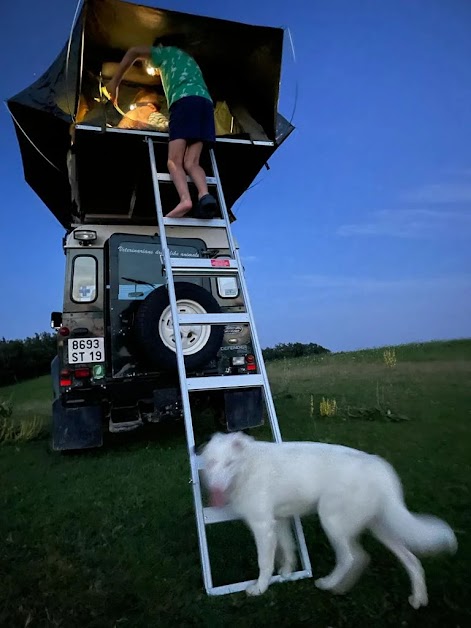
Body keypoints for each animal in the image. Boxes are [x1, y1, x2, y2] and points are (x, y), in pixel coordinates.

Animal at [202, 434, 458, 604]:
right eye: (212, 463)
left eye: (229, 463)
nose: (215, 489)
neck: (247, 467)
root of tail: (379, 467)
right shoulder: (280, 520)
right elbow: (288, 548)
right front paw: (287, 573)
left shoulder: (262, 525)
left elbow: (264, 562)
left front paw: (260, 588)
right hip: (379, 527)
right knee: (404, 560)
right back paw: (416, 598)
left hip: (331, 520)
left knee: (351, 558)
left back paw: (328, 583)